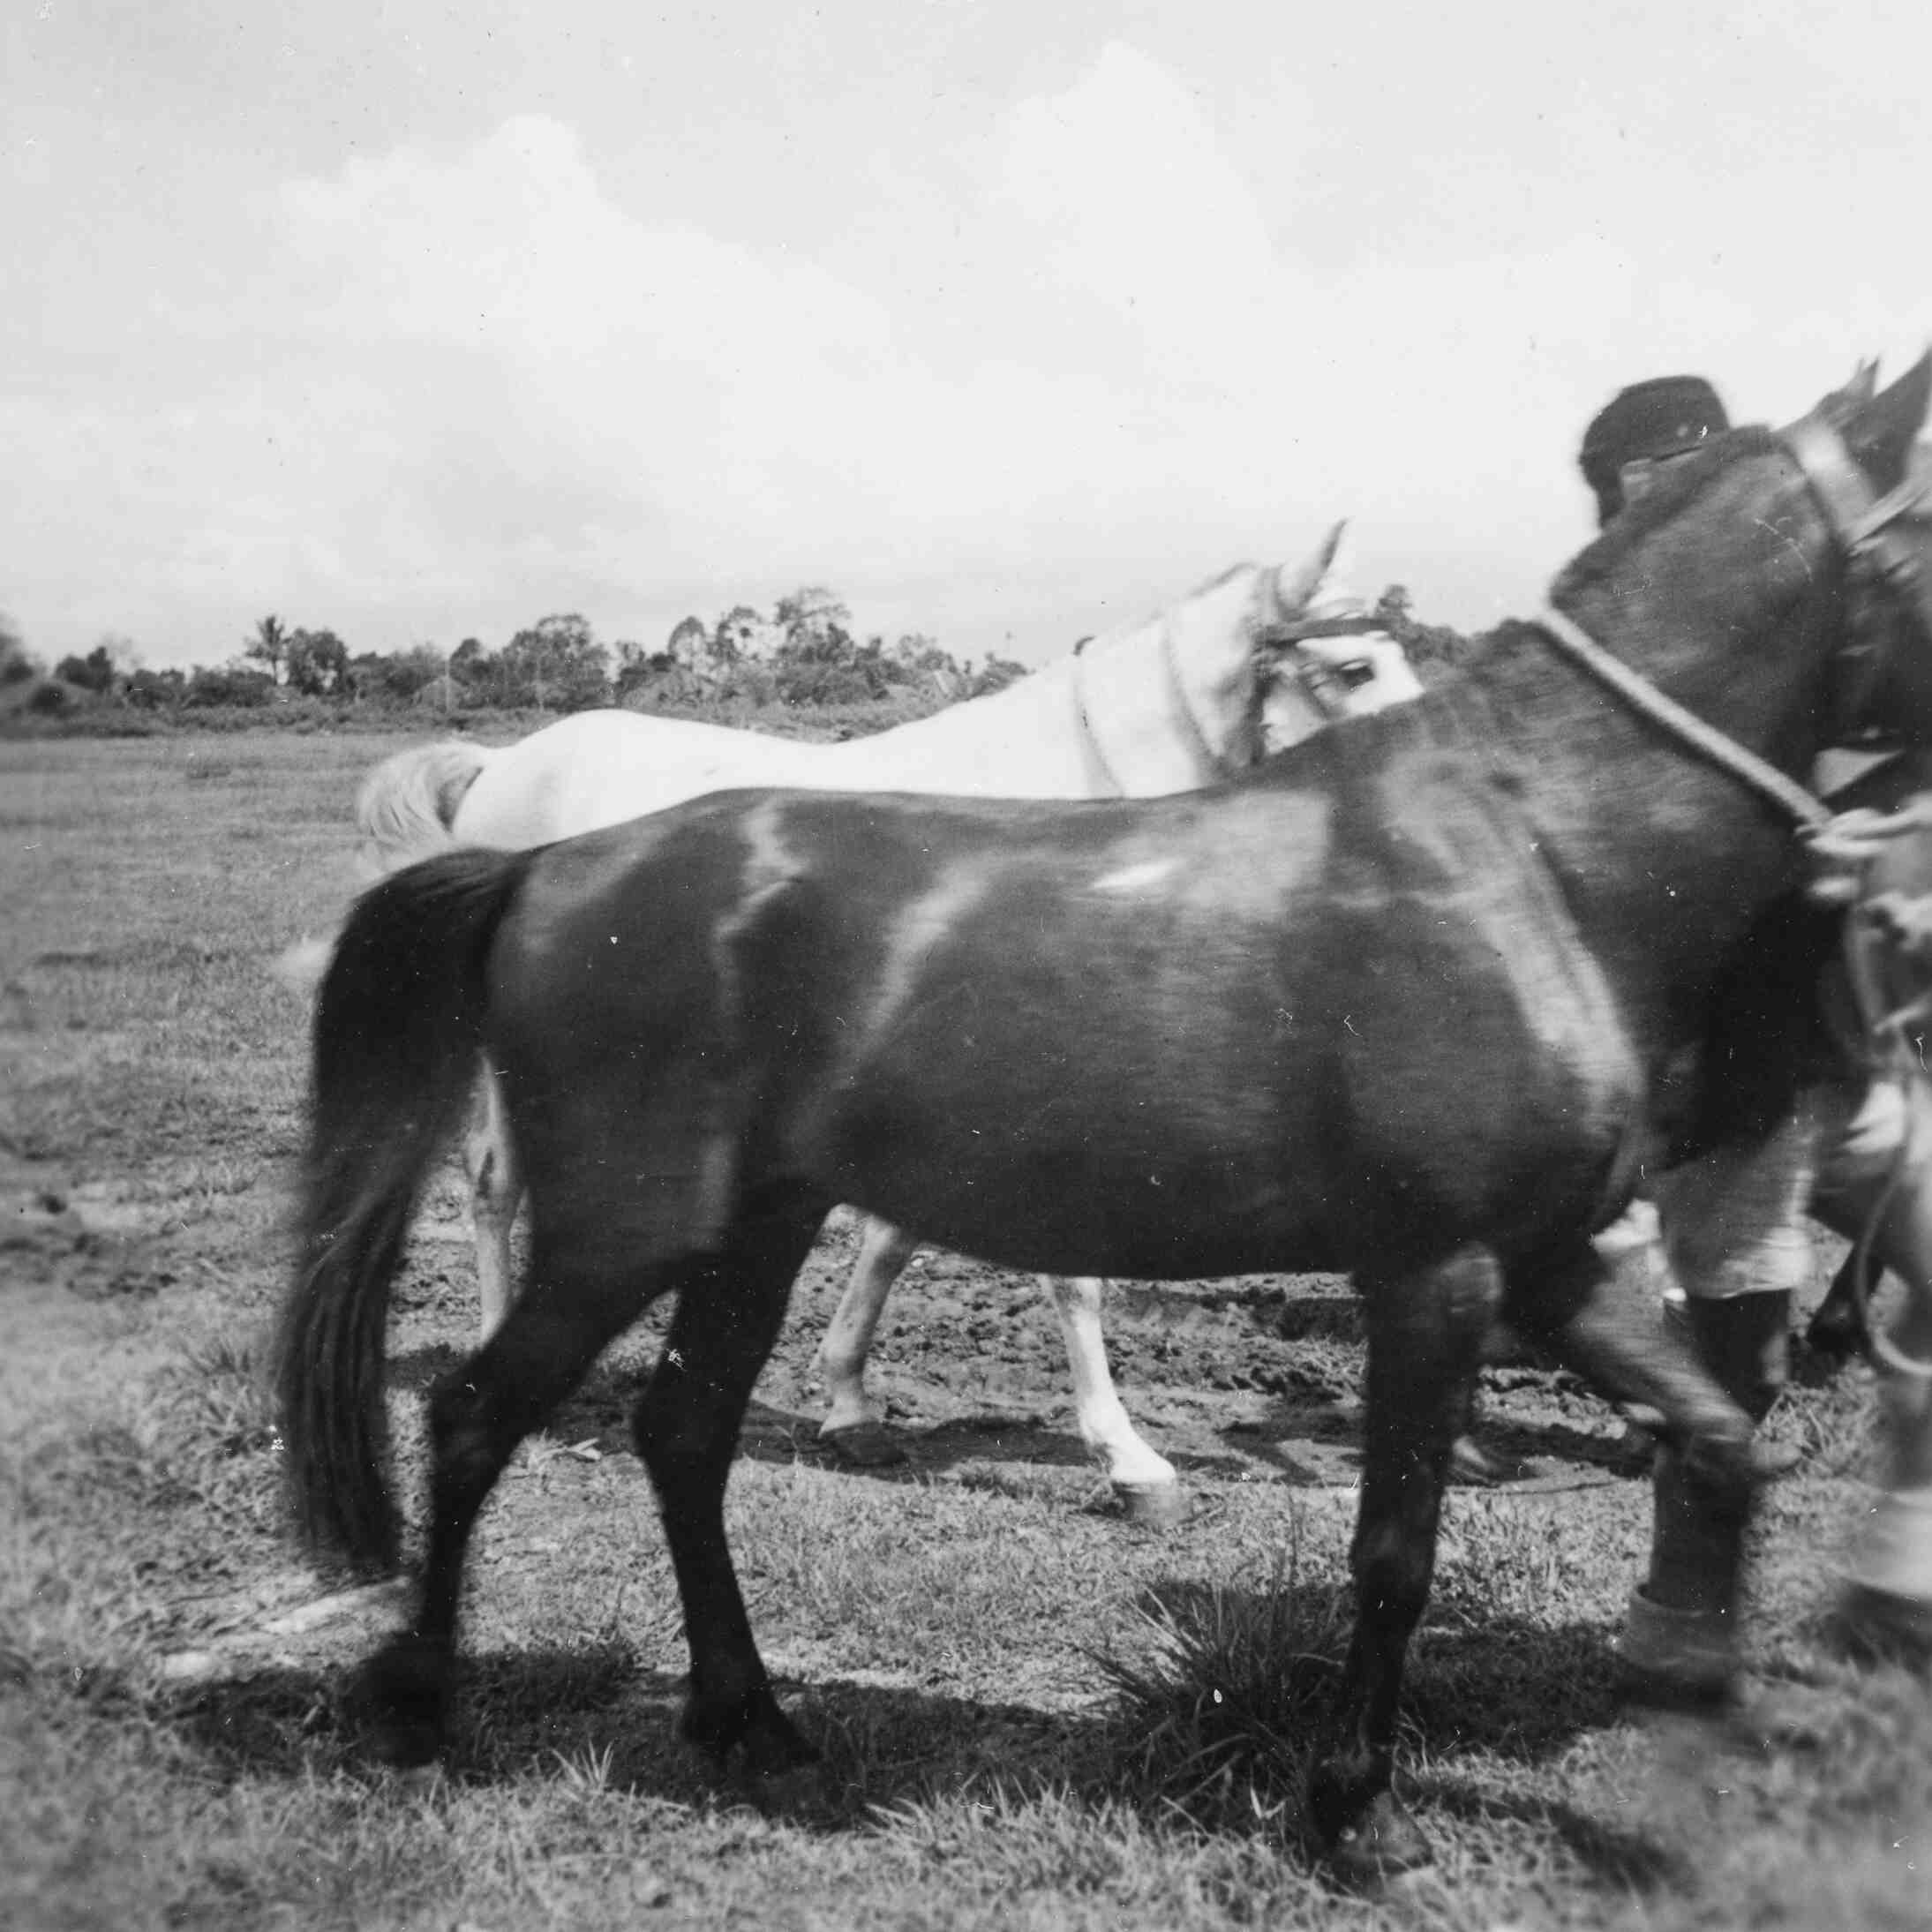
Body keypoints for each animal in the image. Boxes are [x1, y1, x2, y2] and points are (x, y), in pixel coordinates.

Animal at [349, 529, 1423, 1510]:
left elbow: (891, 1238)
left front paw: (849, 1406)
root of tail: (500, 767)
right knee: (494, 1184)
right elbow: (1068, 1272)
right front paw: (1128, 1458)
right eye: (1352, 666)